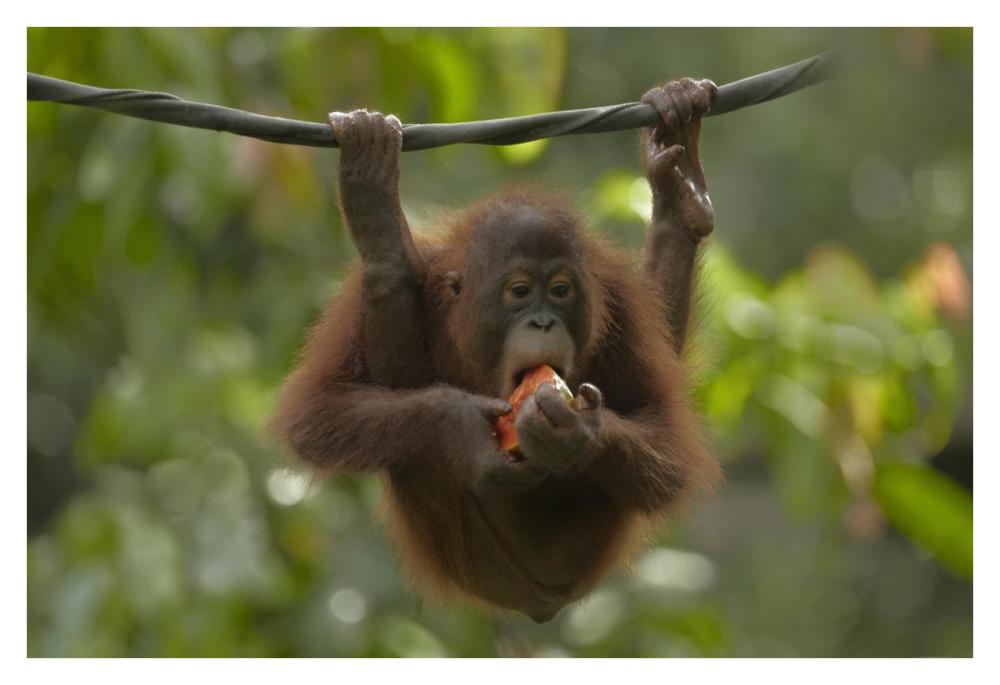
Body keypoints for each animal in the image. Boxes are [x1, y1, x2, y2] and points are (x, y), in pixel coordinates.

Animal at [272, 78, 721, 623]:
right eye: (520, 291)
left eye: (561, 290)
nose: (544, 321)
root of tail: (538, 602)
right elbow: (318, 414)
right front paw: (461, 425)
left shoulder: (620, 302)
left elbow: (667, 439)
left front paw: (575, 435)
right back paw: (380, 231)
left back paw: (681, 191)